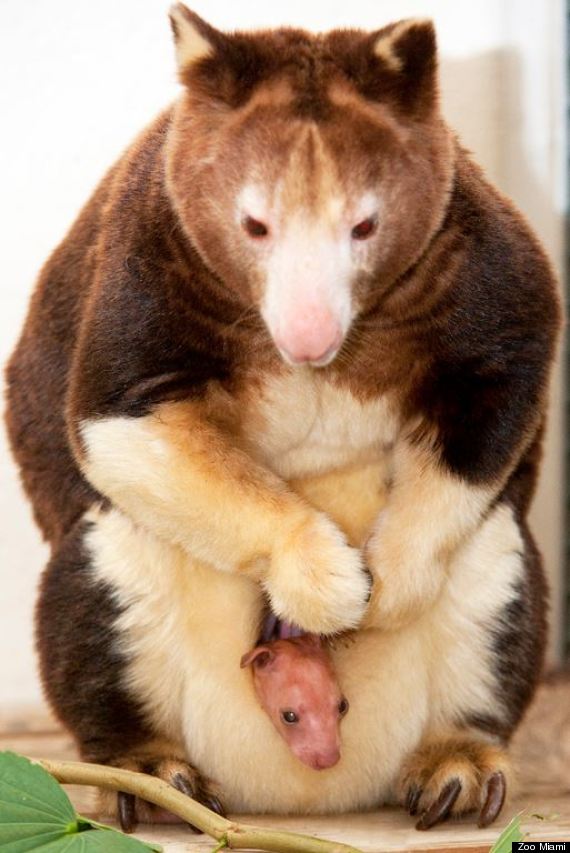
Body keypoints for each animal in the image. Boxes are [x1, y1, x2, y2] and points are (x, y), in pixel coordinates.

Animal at [5, 4, 561, 832]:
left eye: (365, 226)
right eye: (254, 225)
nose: (308, 340)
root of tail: (305, 785)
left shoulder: (472, 251)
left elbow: (505, 369)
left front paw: (385, 587)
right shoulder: (147, 251)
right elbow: (120, 417)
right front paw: (333, 585)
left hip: (488, 567)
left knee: (497, 592)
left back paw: (457, 769)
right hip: (120, 565)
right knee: (94, 599)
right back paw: (150, 771)